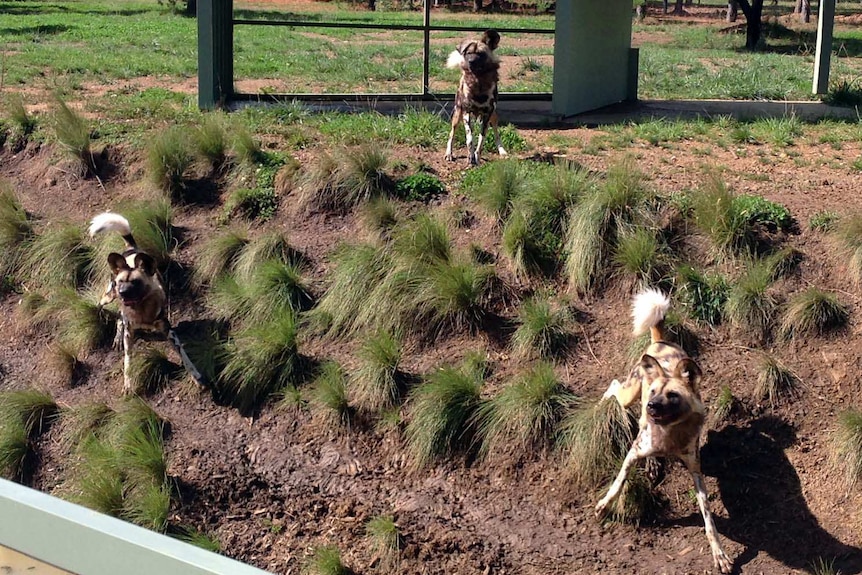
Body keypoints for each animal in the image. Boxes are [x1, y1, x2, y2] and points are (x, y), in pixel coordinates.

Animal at [446, 29, 506, 165]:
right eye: (468, 53)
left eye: (481, 54)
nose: (471, 62)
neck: (478, 82)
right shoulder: (466, 113)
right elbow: (470, 139)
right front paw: (470, 157)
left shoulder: (487, 115)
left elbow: (481, 140)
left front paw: (477, 157)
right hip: (457, 114)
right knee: (452, 133)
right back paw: (449, 153)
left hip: (494, 116)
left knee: (496, 132)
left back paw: (502, 150)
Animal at [596, 292, 732, 575]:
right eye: (654, 392)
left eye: (672, 395)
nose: (651, 405)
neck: (669, 435)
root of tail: (660, 343)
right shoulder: (632, 454)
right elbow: (618, 483)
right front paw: (604, 506)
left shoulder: (696, 472)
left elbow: (709, 522)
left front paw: (719, 553)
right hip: (629, 394)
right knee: (614, 388)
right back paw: (601, 408)